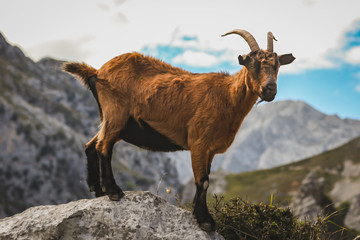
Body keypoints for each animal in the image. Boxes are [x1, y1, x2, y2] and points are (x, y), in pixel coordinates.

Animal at [63, 29, 296, 232]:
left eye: (277, 65)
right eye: (251, 63)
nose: (270, 89)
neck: (227, 97)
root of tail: (97, 72)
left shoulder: (209, 150)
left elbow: (205, 181)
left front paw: (198, 214)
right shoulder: (199, 143)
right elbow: (203, 182)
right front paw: (205, 221)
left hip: (112, 121)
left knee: (91, 144)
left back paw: (97, 189)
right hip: (115, 114)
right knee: (103, 146)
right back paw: (113, 192)